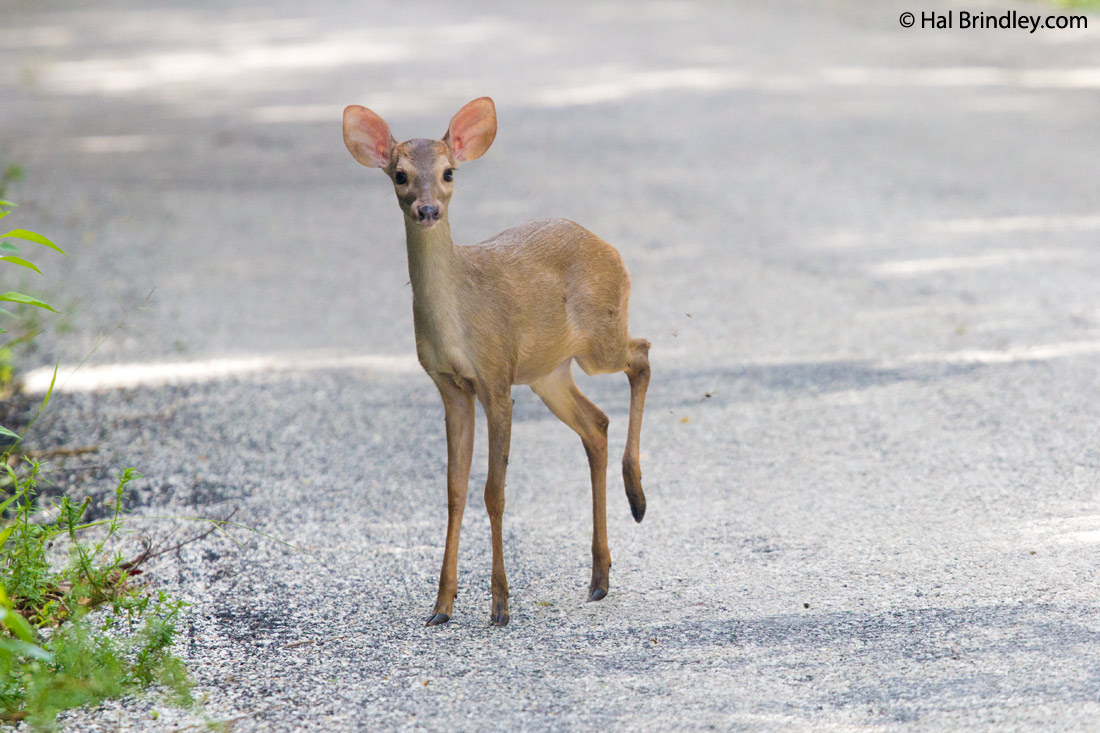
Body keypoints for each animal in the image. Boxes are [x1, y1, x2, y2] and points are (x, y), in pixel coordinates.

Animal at [342, 97, 650, 627]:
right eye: (400, 175)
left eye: (448, 172)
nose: (428, 209)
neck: (457, 326)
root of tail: (609, 248)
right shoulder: (450, 386)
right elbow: (454, 491)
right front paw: (442, 606)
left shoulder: (495, 376)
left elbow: (494, 491)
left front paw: (501, 604)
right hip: (548, 373)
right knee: (596, 424)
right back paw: (599, 576)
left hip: (598, 341)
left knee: (642, 354)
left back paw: (637, 497)